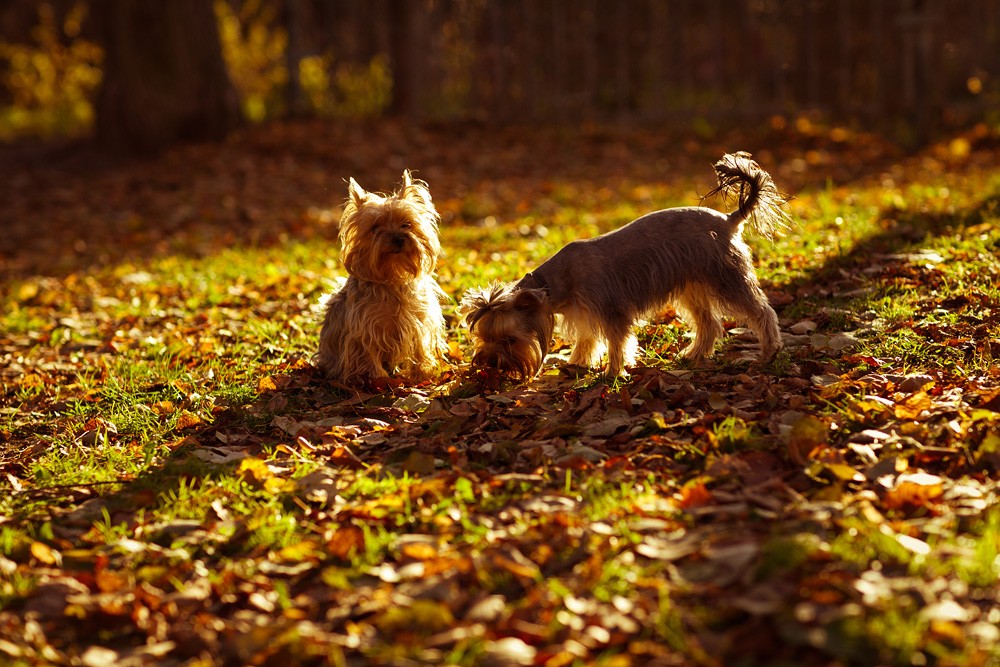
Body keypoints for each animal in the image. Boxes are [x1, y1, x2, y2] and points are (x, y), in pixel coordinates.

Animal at [318, 170, 448, 384]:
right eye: (375, 227)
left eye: (407, 224)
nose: (398, 238)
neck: (393, 276)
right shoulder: (365, 327)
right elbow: (367, 350)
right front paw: (377, 379)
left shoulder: (420, 320)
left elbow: (420, 347)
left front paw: (422, 373)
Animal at [458, 152, 788, 380]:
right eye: (483, 338)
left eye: (509, 339)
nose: (487, 363)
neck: (553, 284)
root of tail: (729, 220)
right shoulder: (585, 315)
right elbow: (587, 341)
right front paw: (576, 364)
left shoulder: (612, 311)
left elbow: (617, 343)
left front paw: (613, 373)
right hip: (692, 287)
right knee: (708, 323)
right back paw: (693, 355)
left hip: (726, 278)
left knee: (761, 312)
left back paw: (769, 352)